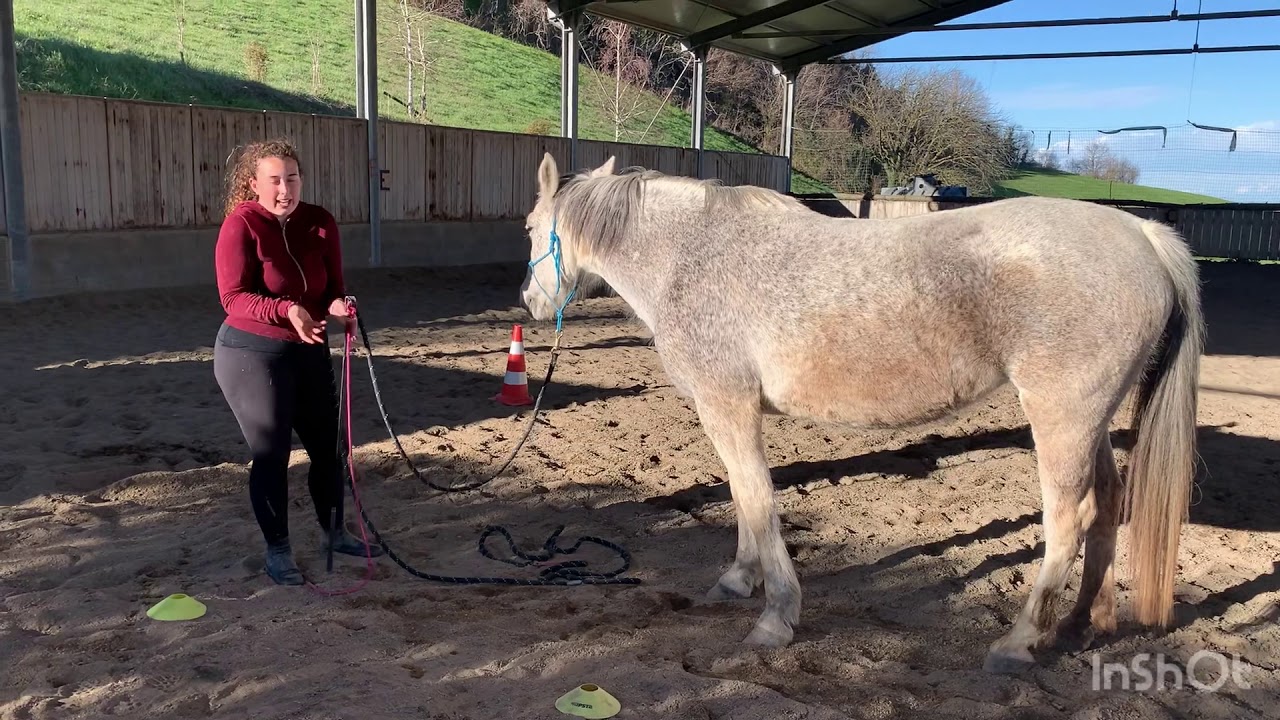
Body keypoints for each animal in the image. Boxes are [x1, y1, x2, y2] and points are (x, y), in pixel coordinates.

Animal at [518, 152, 1204, 674]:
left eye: (528, 227)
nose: (529, 301)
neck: (692, 257)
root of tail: (1142, 237)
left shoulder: (727, 405)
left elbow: (757, 499)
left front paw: (776, 617)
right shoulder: (731, 412)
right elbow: (742, 496)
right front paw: (738, 581)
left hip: (1061, 418)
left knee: (1070, 519)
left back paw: (1018, 642)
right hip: (1092, 422)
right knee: (1108, 504)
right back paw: (1083, 624)